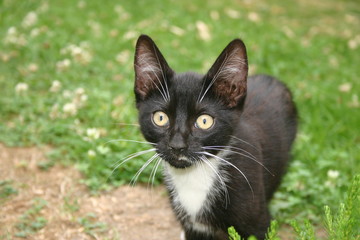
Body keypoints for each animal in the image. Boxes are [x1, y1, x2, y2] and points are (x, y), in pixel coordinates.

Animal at [134, 34, 296, 240]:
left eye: (204, 121)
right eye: (160, 118)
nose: (177, 145)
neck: (195, 176)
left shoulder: (258, 224)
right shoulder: (193, 228)